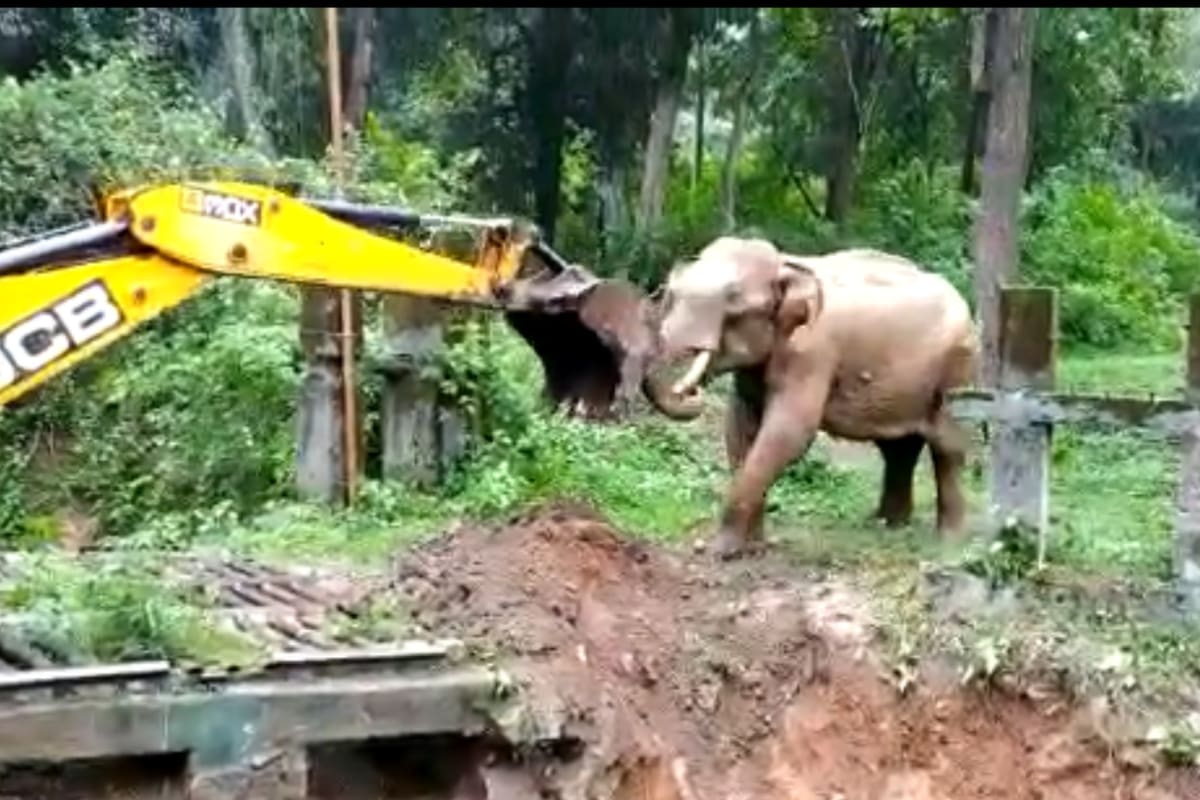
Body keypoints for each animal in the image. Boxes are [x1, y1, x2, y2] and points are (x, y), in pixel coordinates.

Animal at [638, 236, 978, 558]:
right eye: (671, 293)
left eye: (733, 303)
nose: (692, 392)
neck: (785, 262)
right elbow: (740, 429)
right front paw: (752, 548)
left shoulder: (811, 354)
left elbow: (789, 432)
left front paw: (721, 551)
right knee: (898, 449)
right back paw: (887, 526)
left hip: (959, 370)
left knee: (947, 447)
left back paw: (949, 543)